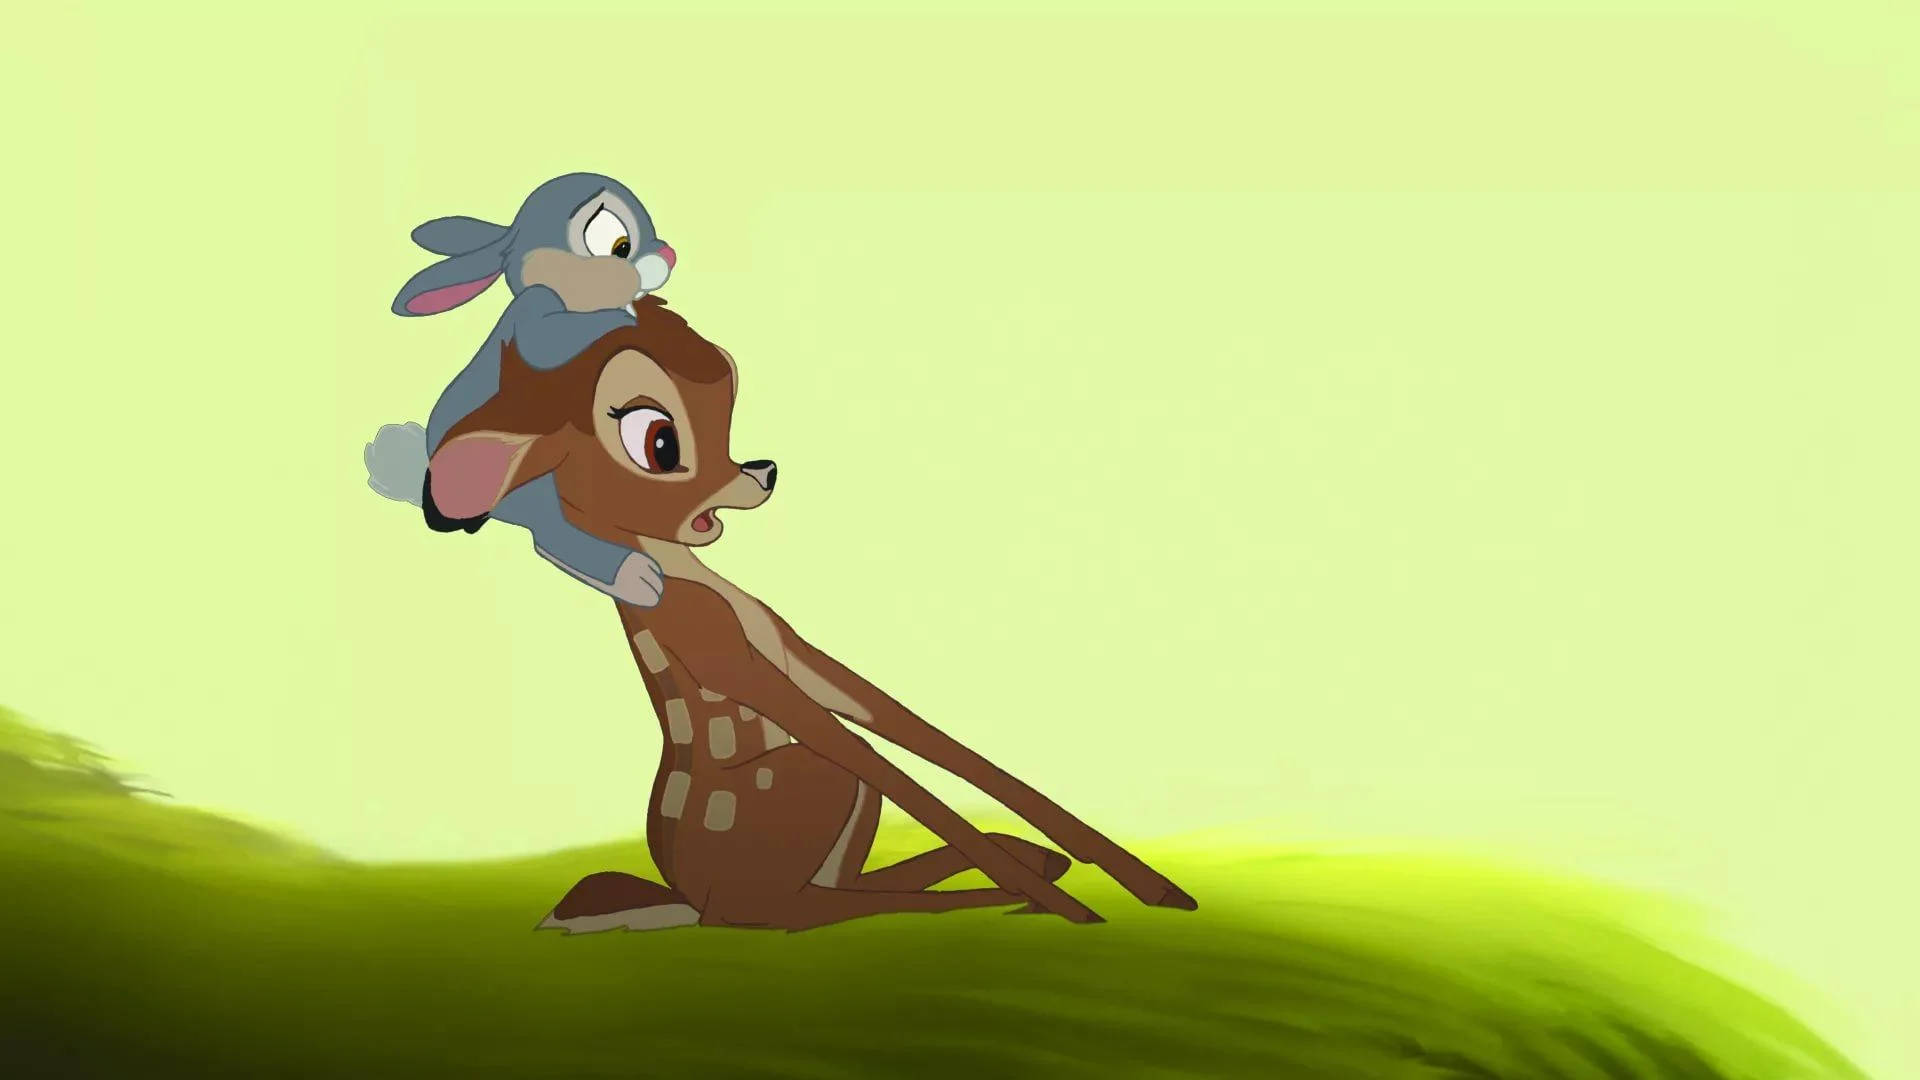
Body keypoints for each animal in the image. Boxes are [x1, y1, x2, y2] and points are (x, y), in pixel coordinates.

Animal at [423, 295, 1198, 932]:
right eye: (659, 442)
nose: (763, 470)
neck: (687, 575)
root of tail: (690, 898)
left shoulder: (792, 656)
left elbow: (921, 735)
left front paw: (1150, 884)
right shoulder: (735, 662)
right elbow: (886, 763)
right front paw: (1075, 909)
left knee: (833, 892)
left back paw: (1032, 865)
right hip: (801, 784)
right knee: (795, 910)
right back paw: (1003, 890)